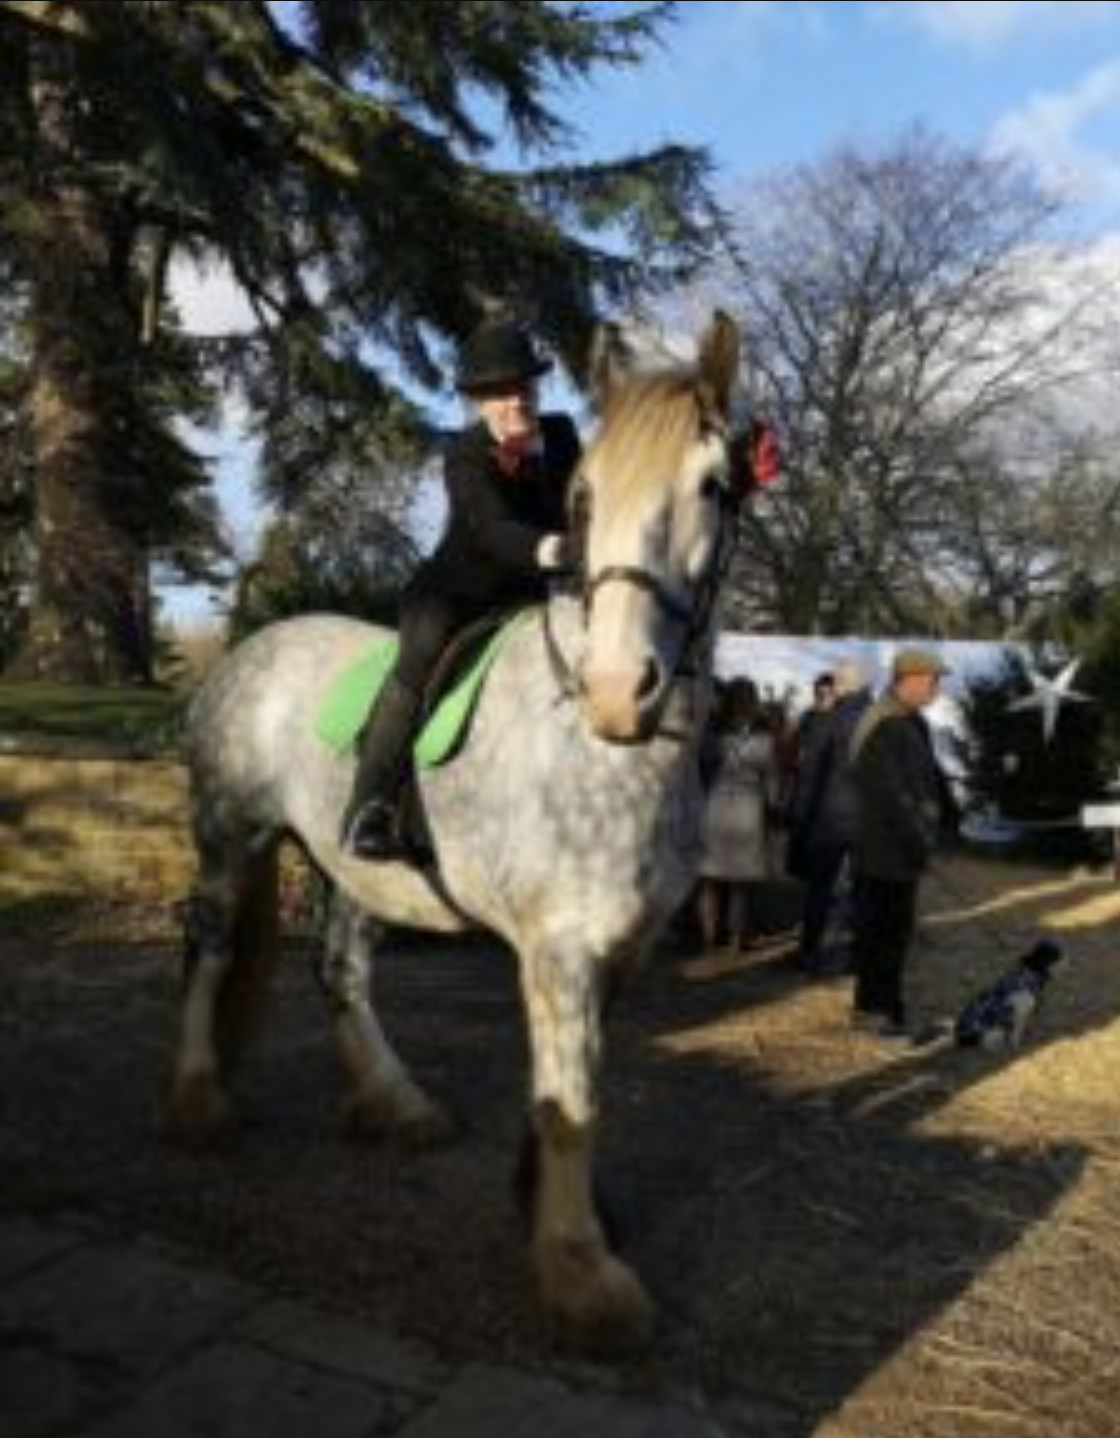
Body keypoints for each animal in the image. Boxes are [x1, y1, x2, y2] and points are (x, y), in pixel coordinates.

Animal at [164, 311, 744, 1354]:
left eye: (714, 486)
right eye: (584, 494)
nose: (617, 691)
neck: (603, 749)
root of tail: (249, 652)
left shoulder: (619, 946)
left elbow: (569, 1088)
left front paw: (547, 1212)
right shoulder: (560, 947)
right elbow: (574, 1100)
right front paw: (581, 1275)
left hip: (358, 869)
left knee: (341, 969)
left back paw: (395, 1105)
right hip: (230, 839)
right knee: (211, 950)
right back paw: (198, 1101)